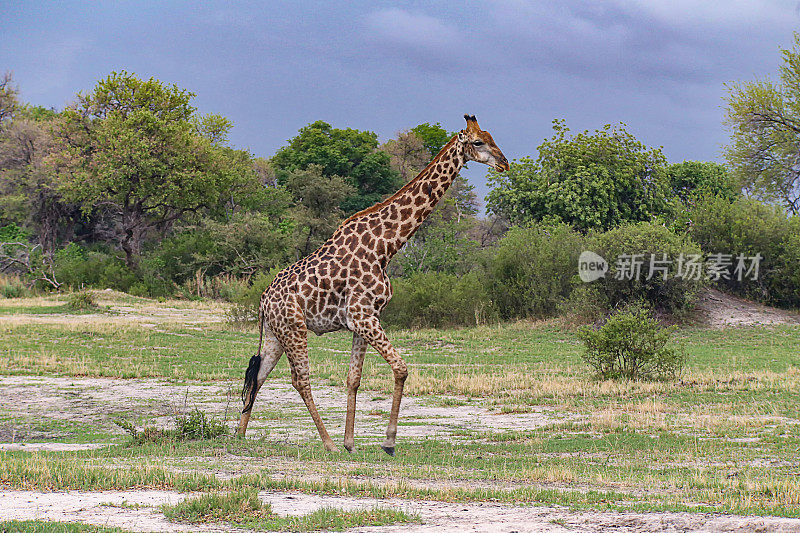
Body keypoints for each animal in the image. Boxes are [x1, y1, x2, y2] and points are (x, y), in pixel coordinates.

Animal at [238, 114, 510, 456]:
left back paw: (239, 435)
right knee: (299, 380)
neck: (385, 248)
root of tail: (263, 300)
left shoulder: (363, 320)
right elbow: (401, 368)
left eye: (492, 137)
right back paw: (326, 443)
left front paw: (351, 442)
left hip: (276, 334)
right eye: (478, 142)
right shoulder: (363, 316)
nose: (504, 163)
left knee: (258, 375)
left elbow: (354, 378)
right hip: (294, 330)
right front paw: (388, 442)